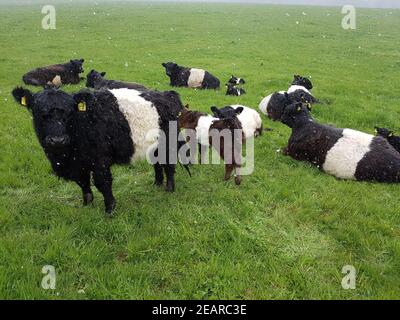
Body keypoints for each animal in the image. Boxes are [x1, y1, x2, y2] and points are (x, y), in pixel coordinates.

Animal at [12, 86, 186, 215]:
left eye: (70, 112)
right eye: (38, 112)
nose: (57, 140)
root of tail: (168, 94)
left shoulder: (100, 161)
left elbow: (103, 183)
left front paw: (110, 209)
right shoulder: (78, 164)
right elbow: (83, 183)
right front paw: (87, 204)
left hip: (168, 143)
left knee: (169, 165)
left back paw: (169, 189)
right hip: (153, 145)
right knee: (157, 163)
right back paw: (157, 183)